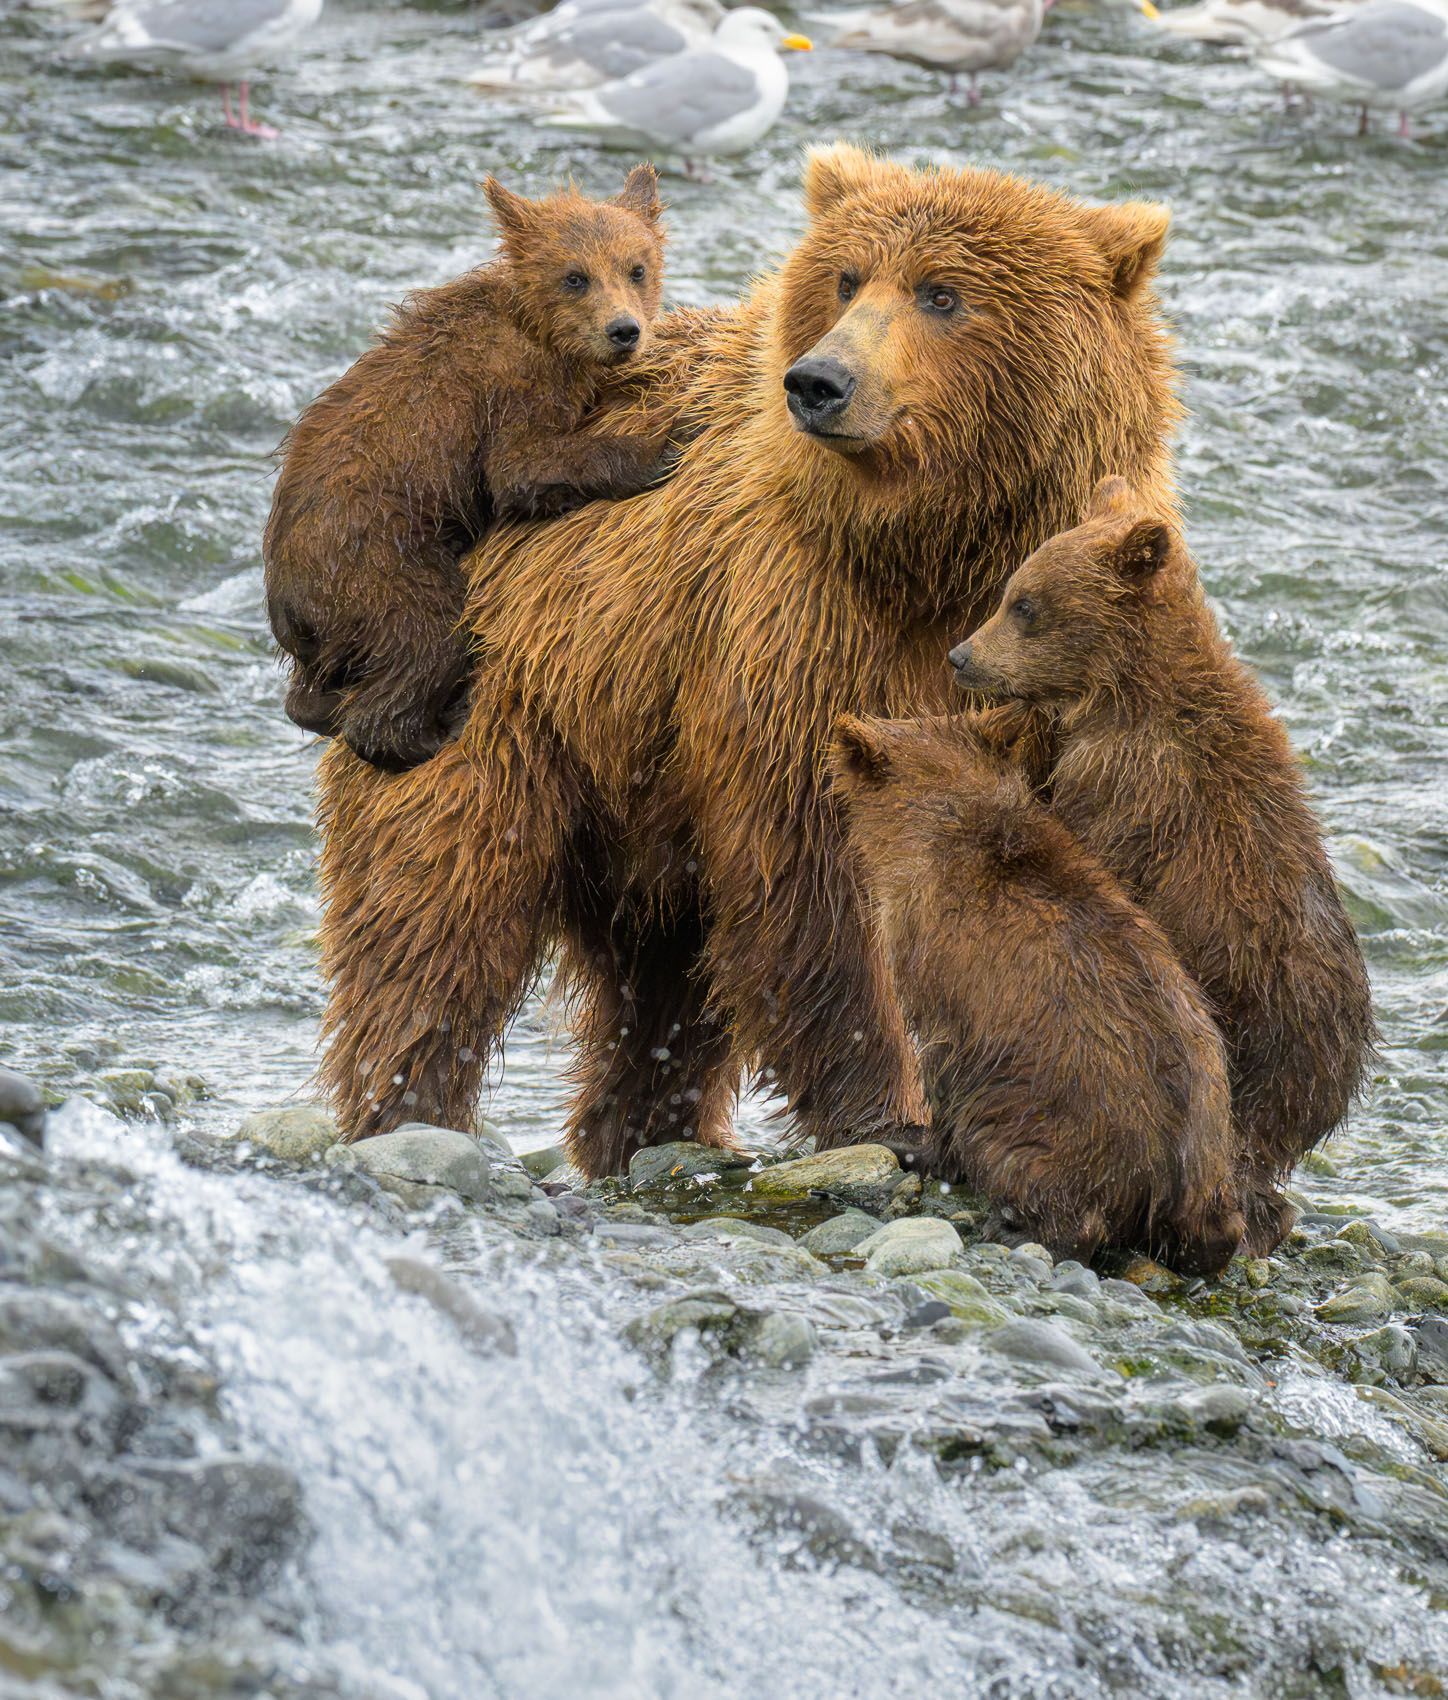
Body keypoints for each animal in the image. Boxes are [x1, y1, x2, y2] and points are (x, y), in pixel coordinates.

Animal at [263, 164, 676, 774]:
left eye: (637, 267)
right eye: (575, 277)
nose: (624, 330)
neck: (542, 330)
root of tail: (286, 605)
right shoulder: (509, 389)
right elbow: (521, 466)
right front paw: (665, 444)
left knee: (315, 688)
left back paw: (322, 707)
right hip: (372, 559)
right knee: (428, 632)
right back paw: (435, 727)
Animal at [311, 144, 1182, 1178]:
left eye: (943, 293)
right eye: (846, 278)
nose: (820, 381)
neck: (932, 558)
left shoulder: (1060, 680)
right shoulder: (794, 633)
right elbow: (817, 876)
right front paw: (892, 1111)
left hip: (638, 800)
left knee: (661, 990)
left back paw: (646, 1126)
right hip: (501, 716)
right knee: (432, 923)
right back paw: (408, 1110)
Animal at [829, 712, 1244, 1274]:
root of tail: (1174, 1174)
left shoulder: (934, 970)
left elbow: (941, 1070)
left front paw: (909, 1142)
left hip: (1050, 1120)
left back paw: (1015, 1230)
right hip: (1213, 1122)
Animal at [949, 476, 1377, 1254]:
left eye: (1025, 604)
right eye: (1009, 590)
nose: (961, 655)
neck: (1124, 691)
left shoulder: (1130, 783)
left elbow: (1081, 843)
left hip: (1258, 1029)